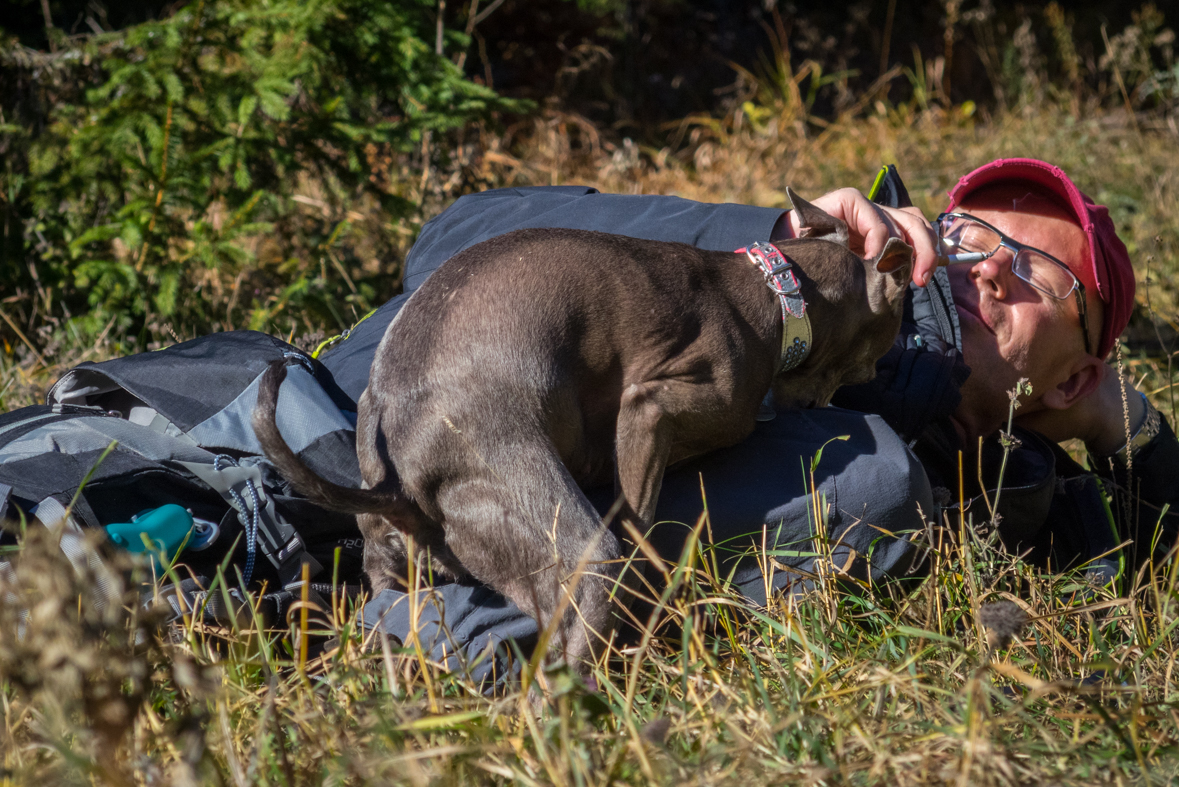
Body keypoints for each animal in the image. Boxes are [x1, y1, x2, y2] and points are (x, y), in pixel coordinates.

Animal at [255, 190, 910, 669]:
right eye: (875, 359)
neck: (778, 293)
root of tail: (398, 481)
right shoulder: (648, 409)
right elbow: (640, 522)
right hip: (574, 549)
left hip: (393, 574)